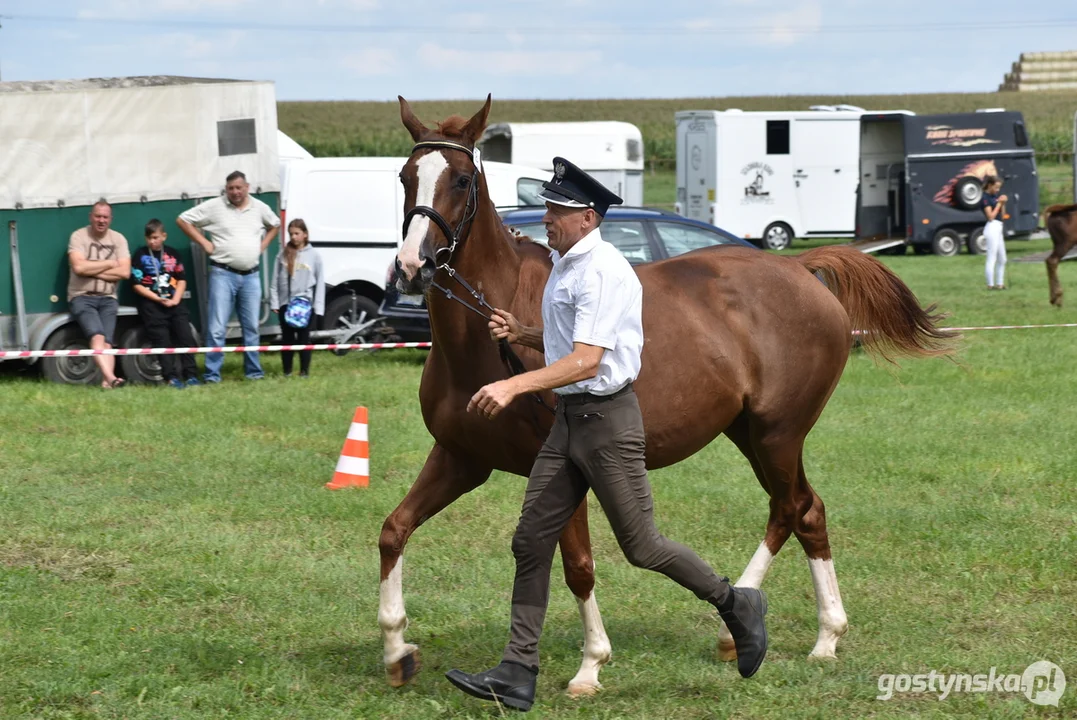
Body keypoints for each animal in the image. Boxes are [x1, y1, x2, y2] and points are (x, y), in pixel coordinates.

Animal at [379, 96, 960, 697]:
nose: (413, 267)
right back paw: (776, 631)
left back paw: (794, 632)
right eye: (404, 177)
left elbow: (578, 565)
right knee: (797, 510)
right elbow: (394, 530)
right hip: (748, 432)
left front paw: (590, 666)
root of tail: (799, 268)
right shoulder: (461, 458)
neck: (483, 336)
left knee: (797, 508)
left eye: (462, 179)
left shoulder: (560, 468)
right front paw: (398, 651)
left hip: (778, 433)